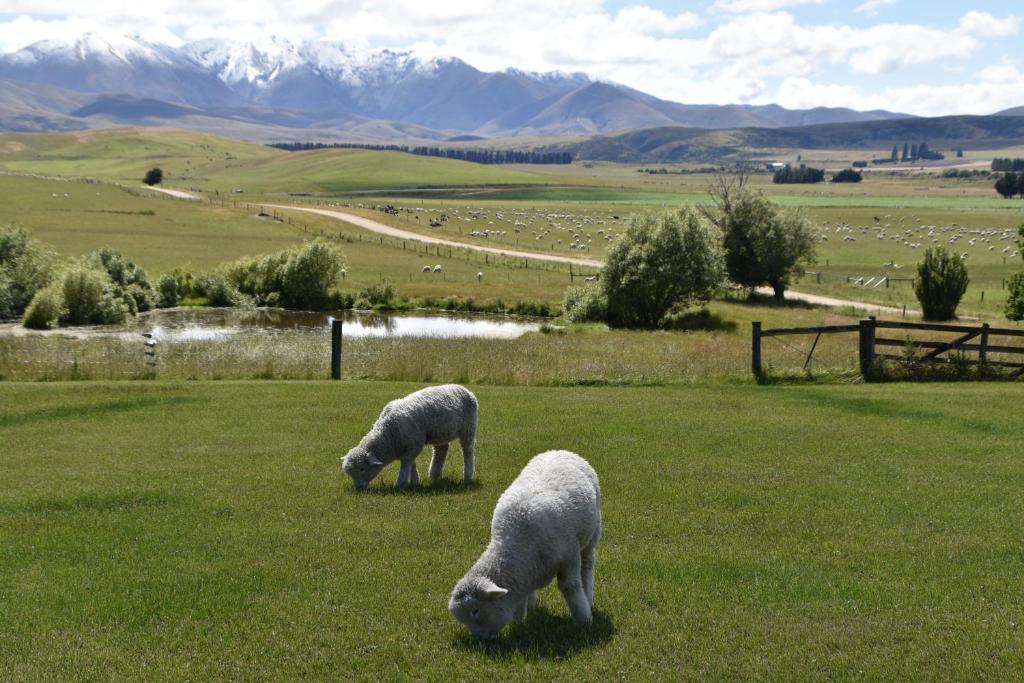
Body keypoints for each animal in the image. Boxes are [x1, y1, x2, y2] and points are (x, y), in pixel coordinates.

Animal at [339, 385, 475, 491]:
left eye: (362, 469)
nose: (359, 488)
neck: (389, 432)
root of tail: (464, 388)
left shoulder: (413, 445)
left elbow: (406, 463)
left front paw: (400, 484)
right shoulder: (409, 445)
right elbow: (411, 463)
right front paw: (414, 482)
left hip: (468, 428)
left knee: (467, 450)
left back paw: (468, 476)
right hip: (441, 433)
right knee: (441, 450)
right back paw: (434, 476)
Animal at [448, 448, 598, 643]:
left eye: (476, 610)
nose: (480, 641)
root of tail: (559, 450)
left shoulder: (569, 556)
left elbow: (570, 586)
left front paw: (584, 620)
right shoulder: (524, 572)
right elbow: (520, 599)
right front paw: (520, 623)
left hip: (591, 537)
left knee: (586, 568)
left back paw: (588, 597)